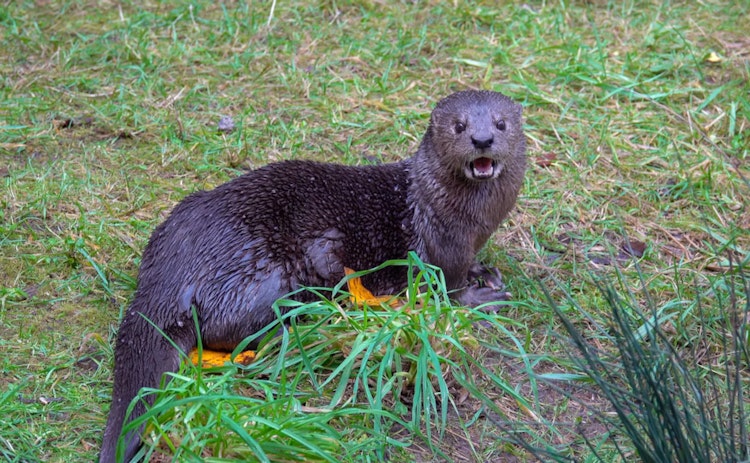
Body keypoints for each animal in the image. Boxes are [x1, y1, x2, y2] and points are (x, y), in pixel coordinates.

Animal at [100, 90, 524, 463]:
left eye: (500, 123)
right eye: (459, 126)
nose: (482, 139)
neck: (465, 219)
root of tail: (172, 269)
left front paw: (483, 271)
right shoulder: (440, 250)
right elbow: (447, 291)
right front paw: (483, 298)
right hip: (265, 276)